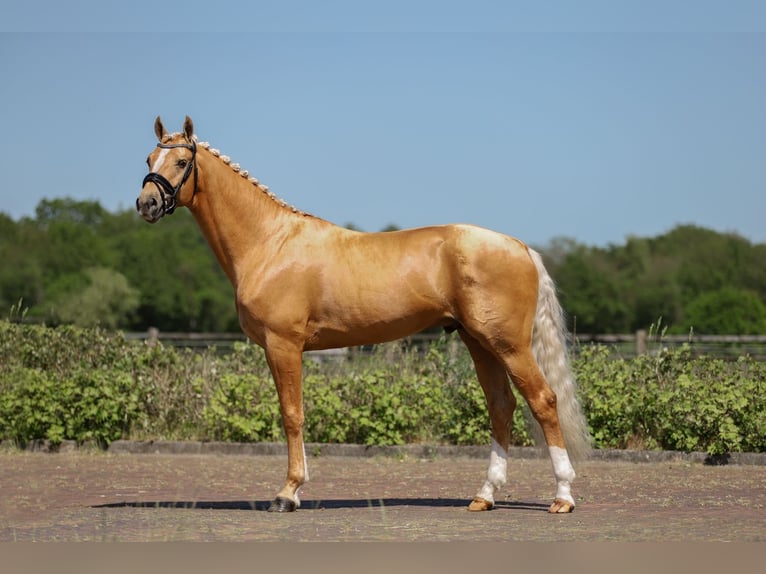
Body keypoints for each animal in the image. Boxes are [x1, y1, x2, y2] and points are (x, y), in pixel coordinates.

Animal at [138, 115, 592, 516]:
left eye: (181, 162)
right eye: (148, 159)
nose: (146, 203)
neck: (270, 242)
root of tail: (520, 246)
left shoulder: (283, 346)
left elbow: (292, 415)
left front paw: (288, 493)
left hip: (509, 345)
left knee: (543, 400)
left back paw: (563, 497)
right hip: (479, 342)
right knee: (501, 406)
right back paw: (484, 496)